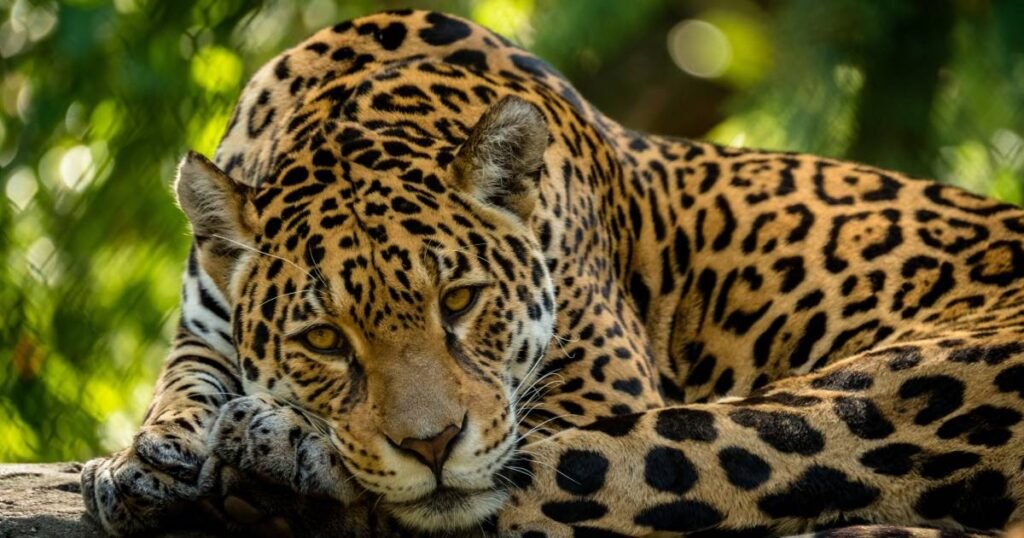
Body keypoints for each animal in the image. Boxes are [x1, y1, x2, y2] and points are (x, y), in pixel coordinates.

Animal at [81, 9, 1024, 538]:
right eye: (323, 338)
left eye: (461, 301)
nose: (431, 445)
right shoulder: (201, 321)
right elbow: (185, 379)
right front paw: (145, 459)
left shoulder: (601, 385)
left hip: (876, 398)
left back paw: (273, 464)